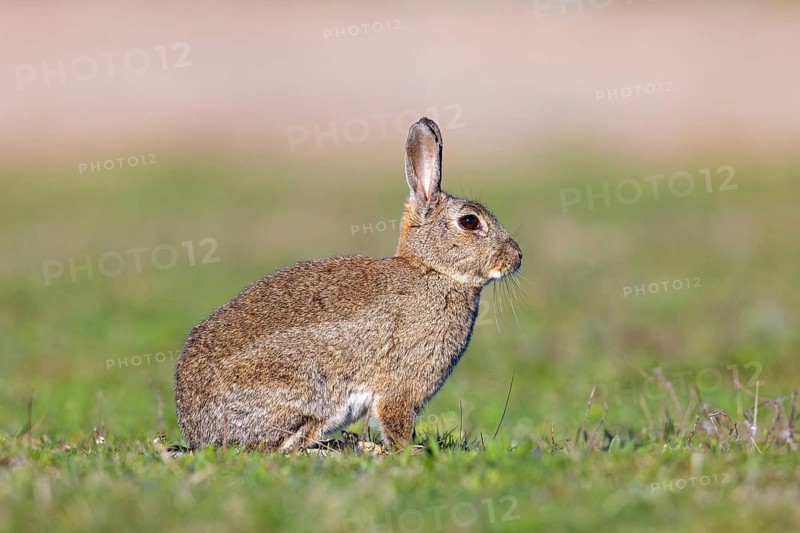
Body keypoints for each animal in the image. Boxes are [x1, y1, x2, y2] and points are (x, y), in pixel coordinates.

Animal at [174, 117, 522, 451]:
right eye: (469, 221)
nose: (516, 258)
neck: (433, 270)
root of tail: (196, 430)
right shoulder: (403, 384)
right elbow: (395, 421)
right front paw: (409, 450)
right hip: (310, 390)